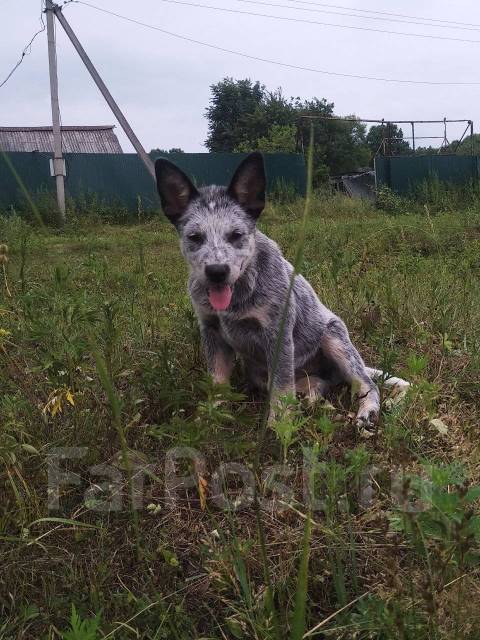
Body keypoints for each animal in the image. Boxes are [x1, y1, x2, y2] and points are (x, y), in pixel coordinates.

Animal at [155, 152, 408, 428]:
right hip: (260, 372)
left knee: (367, 384)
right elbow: (217, 381)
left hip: (336, 341)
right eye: (194, 237)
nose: (216, 271)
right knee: (318, 384)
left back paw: (366, 412)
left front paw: (279, 426)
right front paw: (211, 417)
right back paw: (310, 399)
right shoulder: (211, 331)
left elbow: (281, 385)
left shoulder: (277, 334)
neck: (240, 294)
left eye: (236, 235)